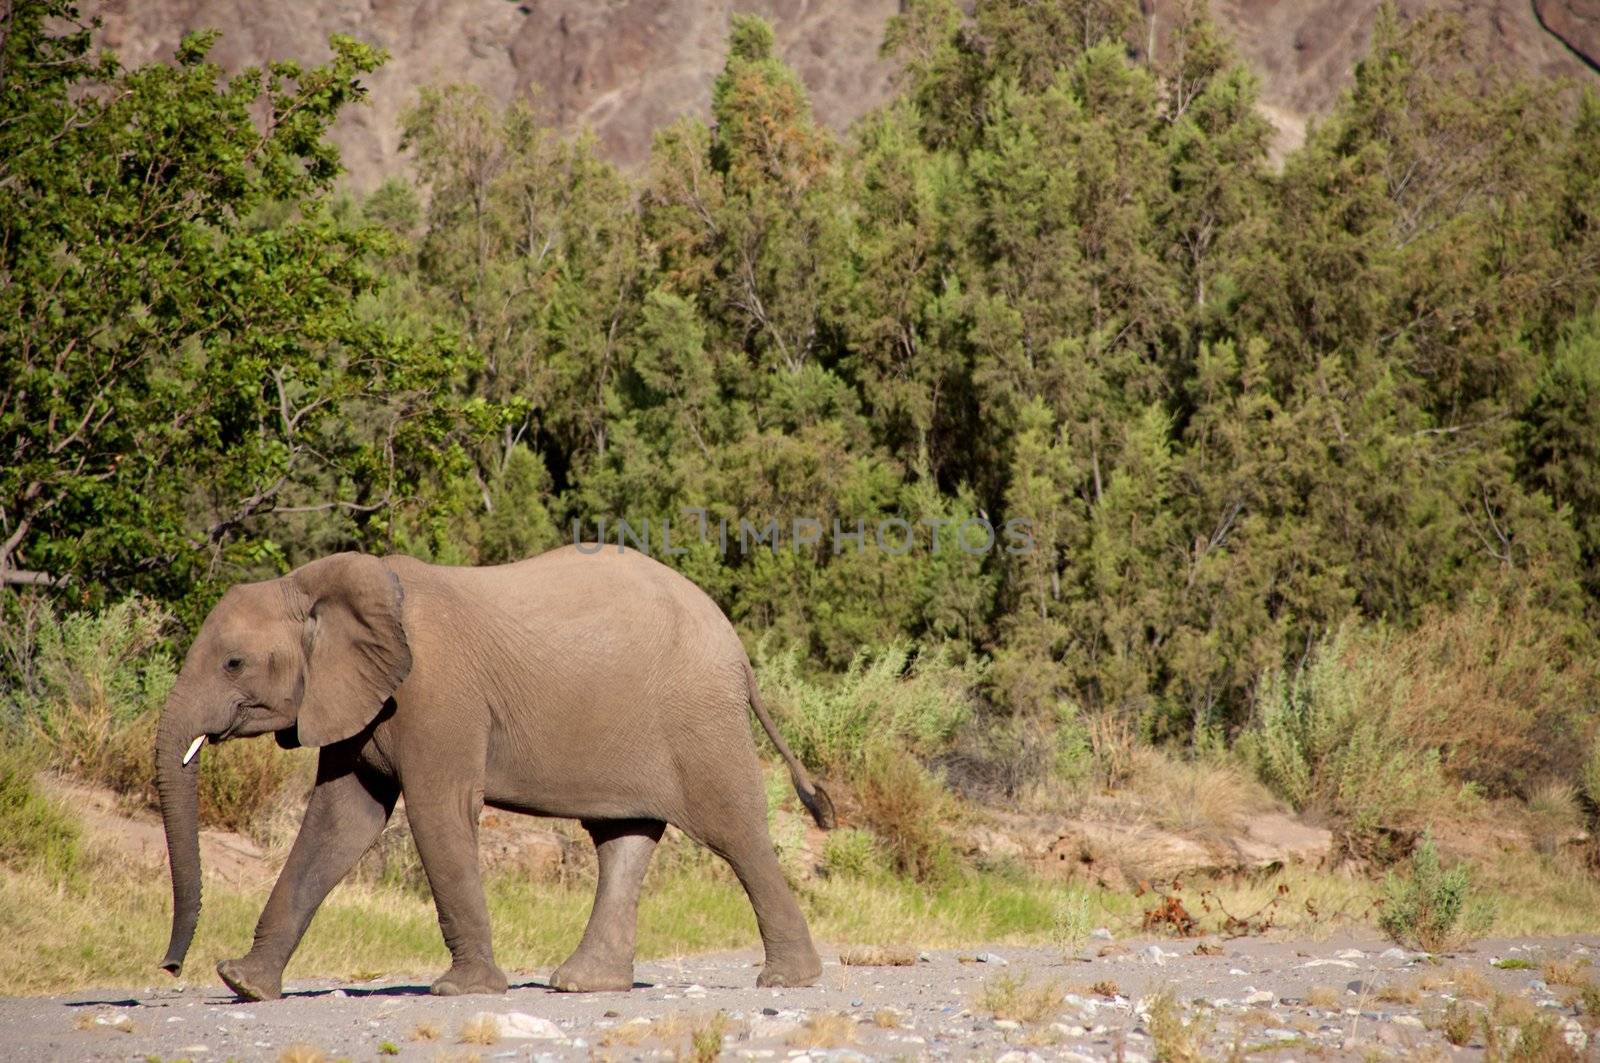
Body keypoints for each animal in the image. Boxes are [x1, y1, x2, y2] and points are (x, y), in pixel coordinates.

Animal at [152, 544, 838, 998]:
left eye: (234, 664)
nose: (170, 968)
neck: (313, 583)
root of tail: (735, 645)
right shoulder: (355, 698)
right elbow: (341, 821)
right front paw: (244, 984)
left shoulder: (436, 695)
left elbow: (437, 811)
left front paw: (463, 991)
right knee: (623, 839)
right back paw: (583, 985)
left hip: (699, 720)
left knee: (733, 831)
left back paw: (786, 980)